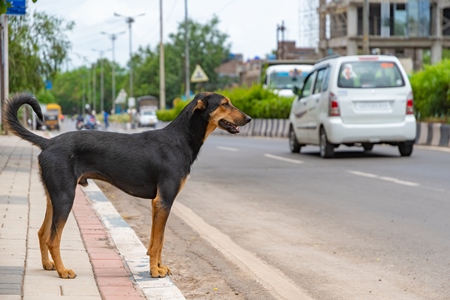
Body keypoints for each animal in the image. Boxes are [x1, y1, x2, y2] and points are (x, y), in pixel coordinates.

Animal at [2, 92, 250, 278]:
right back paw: (63, 271)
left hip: (54, 196)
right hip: (65, 197)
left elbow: (157, 241)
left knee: (42, 232)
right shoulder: (163, 201)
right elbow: (157, 243)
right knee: (53, 238)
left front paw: (159, 267)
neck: (181, 139)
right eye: (225, 104)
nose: (248, 118)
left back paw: (48, 265)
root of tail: (48, 142)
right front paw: (154, 272)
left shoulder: (159, 204)